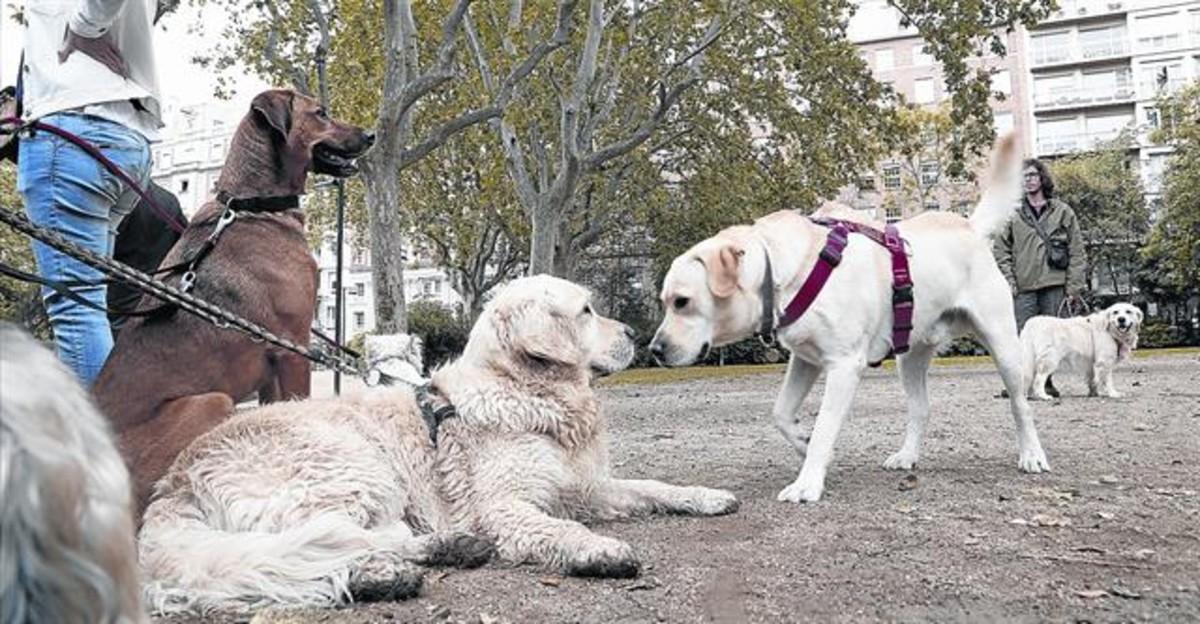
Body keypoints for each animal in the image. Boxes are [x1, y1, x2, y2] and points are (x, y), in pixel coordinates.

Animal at [93, 90, 372, 513]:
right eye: (321, 113)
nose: (371, 134)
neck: (253, 206)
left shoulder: (273, 370)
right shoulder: (293, 350)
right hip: (213, 402)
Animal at [140, 277, 739, 614]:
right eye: (586, 310)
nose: (638, 336)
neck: (529, 394)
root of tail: (176, 481)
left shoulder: (583, 487)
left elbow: (651, 486)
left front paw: (706, 496)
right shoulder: (505, 507)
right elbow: (555, 528)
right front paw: (598, 549)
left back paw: (443, 553)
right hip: (353, 462)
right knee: (343, 538)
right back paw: (403, 569)